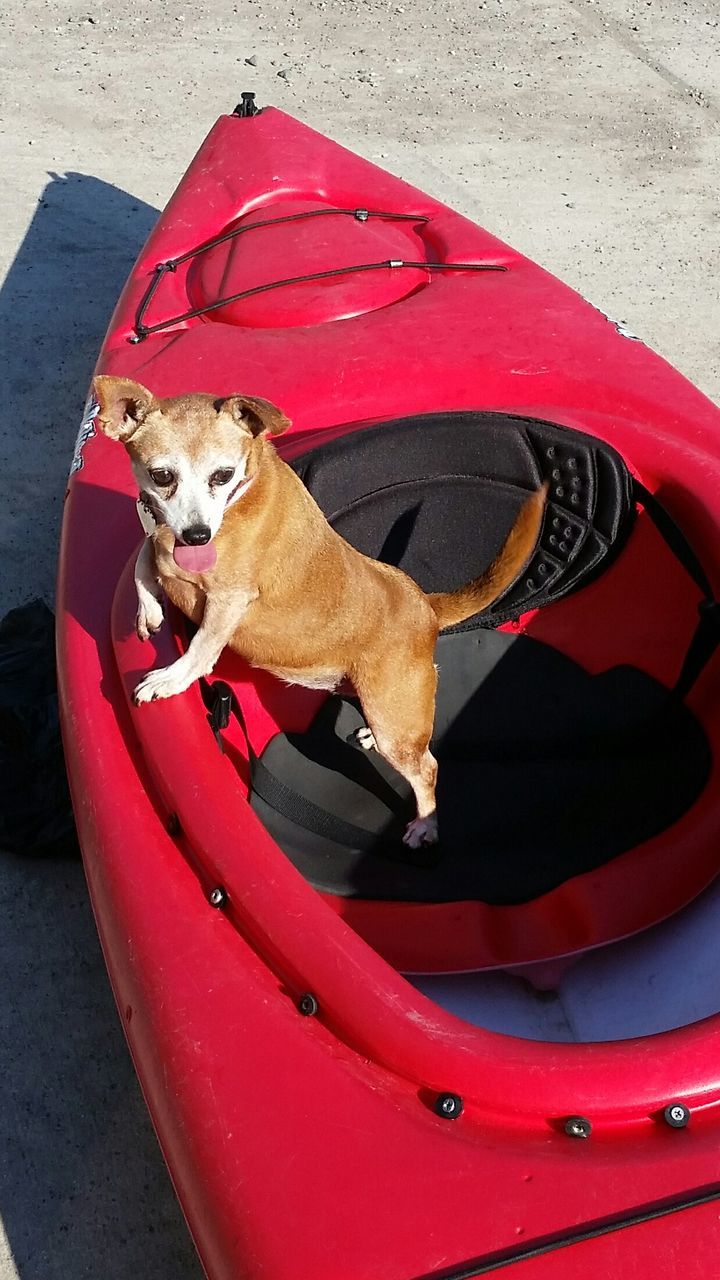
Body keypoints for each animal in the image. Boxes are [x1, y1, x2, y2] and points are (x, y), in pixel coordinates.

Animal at [95, 373, 543, 844]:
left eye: (223, 475)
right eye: (162, 475)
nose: (197, 535)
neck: (243, 494)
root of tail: (425, 603)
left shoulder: (229, 599)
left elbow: (201, 649)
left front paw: (170, 678)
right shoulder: (162, 542)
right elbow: (143, 561)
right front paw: (149, 609)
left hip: (396, 725)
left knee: (426, 767)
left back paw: (425, 823)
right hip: (385, 708)